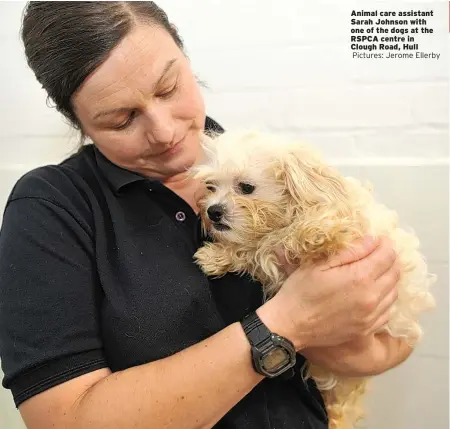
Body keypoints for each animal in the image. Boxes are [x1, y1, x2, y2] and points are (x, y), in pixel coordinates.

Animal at [192, 130, 436, 428]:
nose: (212, 211)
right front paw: (215, 256)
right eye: (210, 187)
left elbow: (309, 232)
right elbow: (253, 250)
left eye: (246, 187)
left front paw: (314, 233)